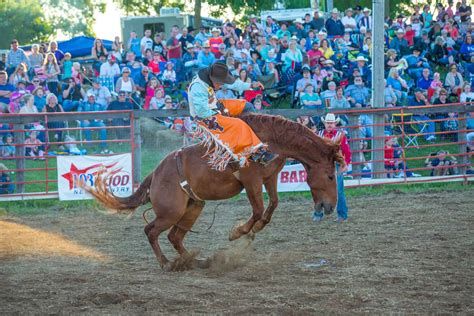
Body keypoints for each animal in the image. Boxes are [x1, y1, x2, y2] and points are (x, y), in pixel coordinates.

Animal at [87, 113, 342, 270]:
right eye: (330, 175)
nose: (330, 207)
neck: (269, 140)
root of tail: (155, 174)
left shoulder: (269, 177)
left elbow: (273, 205)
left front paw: (255, 229)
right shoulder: (251, 179)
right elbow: (258, 209)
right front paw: (238, 232)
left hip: (193, 207)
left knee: (174, 236)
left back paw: (196, 261)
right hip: (171, 211)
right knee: (150, 231)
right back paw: (167, 264)